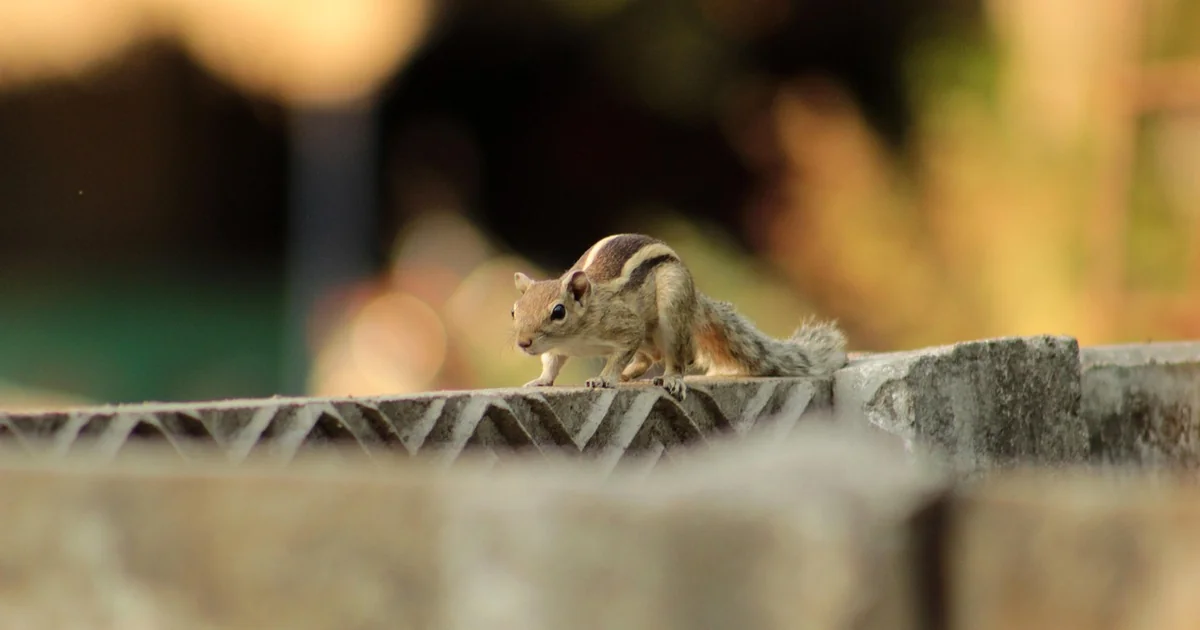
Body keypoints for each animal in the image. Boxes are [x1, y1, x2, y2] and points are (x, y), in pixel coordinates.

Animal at [510, 233, 848, 400]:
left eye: (558, 311)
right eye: (514, 311)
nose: (523, 343)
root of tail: (695, 299)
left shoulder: (627, 326)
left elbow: (620, 350)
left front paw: (604, 378)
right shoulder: (557, 348)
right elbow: (551, 363)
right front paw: (541, 380)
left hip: (671, 310)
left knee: (677, 358)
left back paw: (669, 378)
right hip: (652, 337)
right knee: (649, 357)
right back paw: (630, 374)